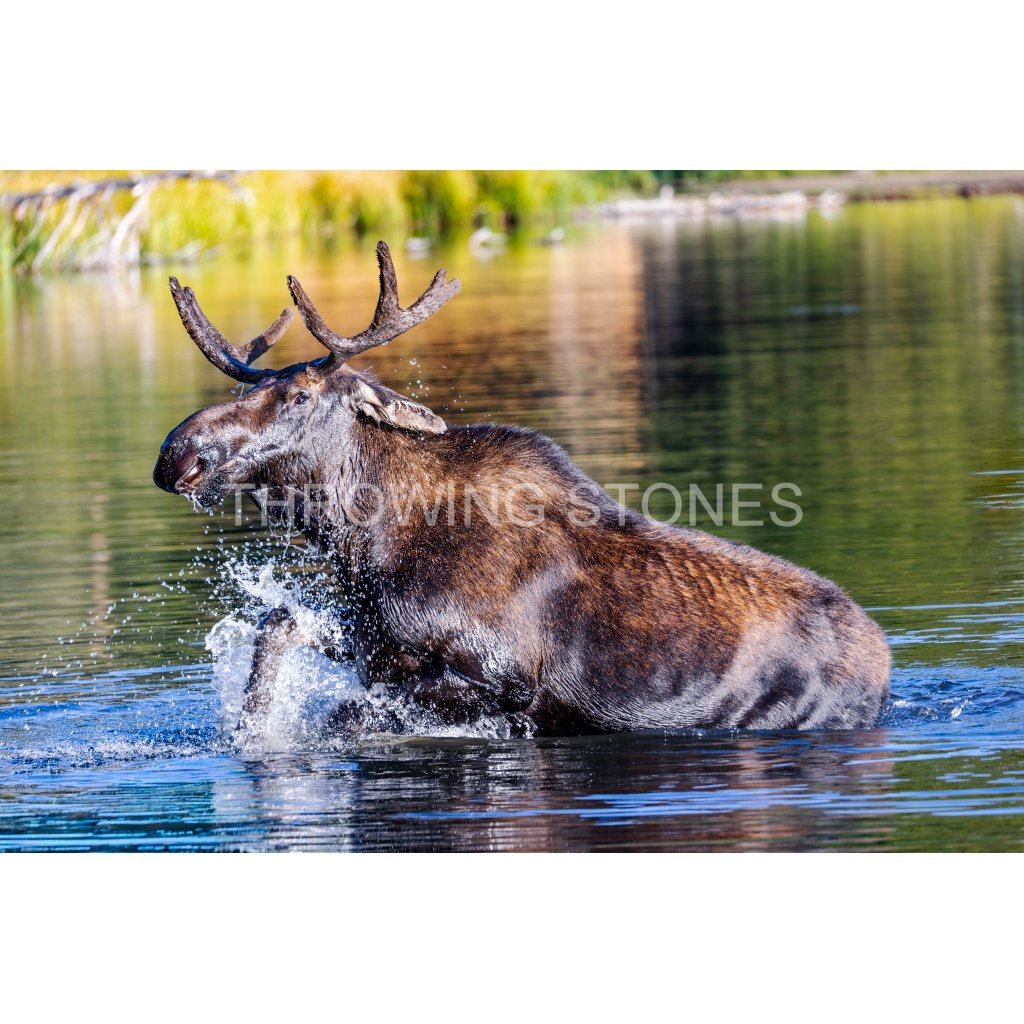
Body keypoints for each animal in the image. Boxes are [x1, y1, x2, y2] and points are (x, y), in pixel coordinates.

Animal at [153, 242, 891, 737]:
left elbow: (343, 718)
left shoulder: (501, 681)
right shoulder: (373, 647)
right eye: (242, 391)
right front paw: (247, 732)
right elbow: (275, 624)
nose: (177, 455)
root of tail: (886, 663)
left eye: (301, 394)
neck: (363, 544)